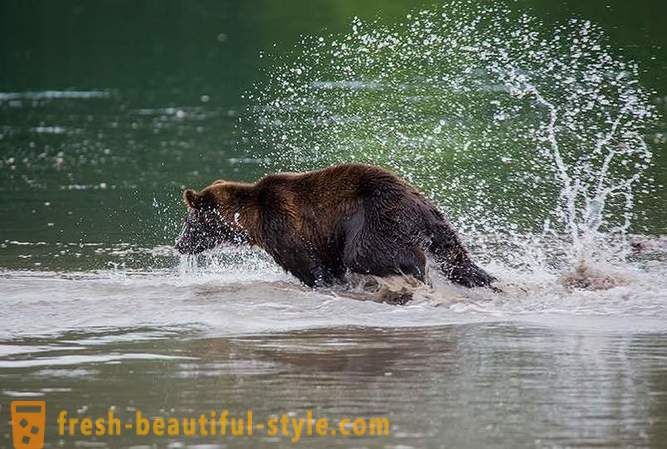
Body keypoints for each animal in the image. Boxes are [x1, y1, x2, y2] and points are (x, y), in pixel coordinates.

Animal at [175, 164, 498, 290]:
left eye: (189, 222)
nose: (179, 245)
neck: (249, 219)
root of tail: (421, 204)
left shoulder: (284, 226)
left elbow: (309, 267)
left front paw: (323, 282)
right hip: (434, 222)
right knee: (455, 256)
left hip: (376, 217)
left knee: (365, 253)